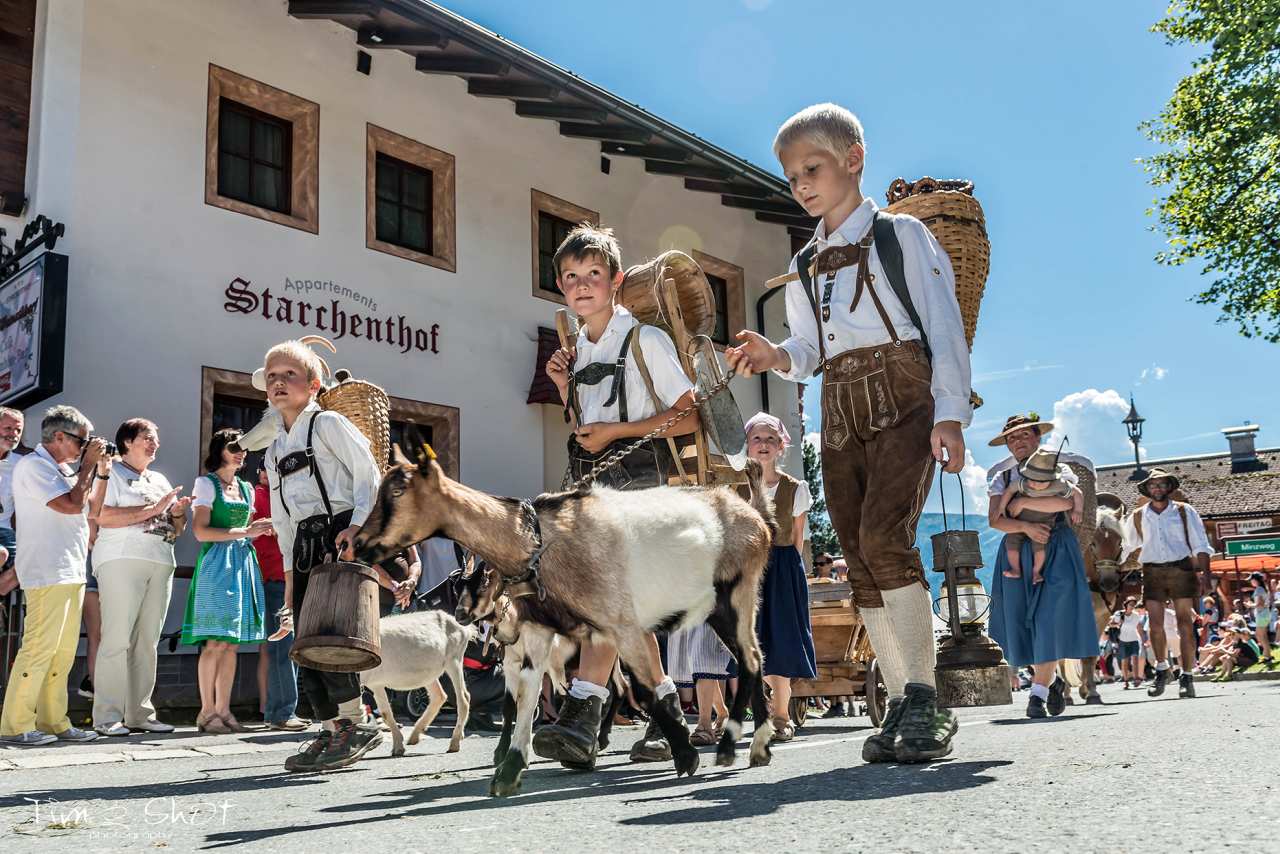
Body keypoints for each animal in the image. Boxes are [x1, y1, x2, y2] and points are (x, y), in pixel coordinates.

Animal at [360, 612, 476, 757]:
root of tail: (464, 629)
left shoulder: (376, 683)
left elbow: (386, 713)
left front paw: (398, 747)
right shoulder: (373, 684)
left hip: (454, 660)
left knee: (463, 698)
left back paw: (454, 743)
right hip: (430, 674)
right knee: (439, 696)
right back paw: (415, 736)